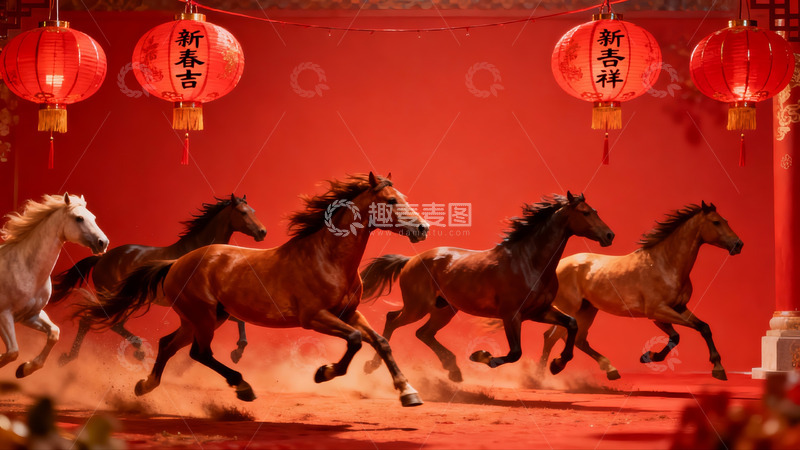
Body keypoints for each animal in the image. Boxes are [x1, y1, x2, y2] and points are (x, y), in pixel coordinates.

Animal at [0, 193, 108, 378]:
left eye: (93, 217)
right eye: (79, 218)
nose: (103, 242)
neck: (27, 269)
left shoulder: (30, 316)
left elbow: (54, 334)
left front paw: (24, 369)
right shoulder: (4, 314)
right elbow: (13, 352)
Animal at [51, 194, 266, 366]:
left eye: (254, 211)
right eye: (243, 213)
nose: (262, 232)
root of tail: (101, 258)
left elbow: (240, 320)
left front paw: (237, 352)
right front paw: (236, 352)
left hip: (129, 301)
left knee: (104, 323)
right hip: (119, 300)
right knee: (93, 321)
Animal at [84, 173, 430, 406]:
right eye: (390, 201)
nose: (422, 227)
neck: (327, 258)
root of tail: (176, 262)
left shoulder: (349, 313)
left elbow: (381, 342)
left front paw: (409, 392)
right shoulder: (315, 318)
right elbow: (356, 340)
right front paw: (324, 372)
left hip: (203, 318)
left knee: (169, 345)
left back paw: (145, 385)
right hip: (203, 317)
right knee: (199, 352)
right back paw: (243, 387)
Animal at [360, 192, 614, 383]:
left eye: (596, 211)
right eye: (585, 212)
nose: (609, 235)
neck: (528, 262)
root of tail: (410, 260)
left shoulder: (539, 311)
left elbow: (571, 324)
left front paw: (558, 364)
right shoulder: (511, 315)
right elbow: (515, 352)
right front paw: (482, 356)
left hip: (444, 309)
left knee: (423, 333)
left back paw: (453, 370)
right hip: (417, 307)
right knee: (393, 319)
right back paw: (371, 366)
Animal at [539, 201, 743, 381]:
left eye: (726, 220)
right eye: (716, 222)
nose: (738, 244)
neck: (666, 265)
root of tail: (558, 265)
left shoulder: (676, 309)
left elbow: (696, 330)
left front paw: (649, 356)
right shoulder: (657, 311)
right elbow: (691, 329)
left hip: (588, 310)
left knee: (578, 339)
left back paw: (610, 369)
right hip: (570, 308)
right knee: (551, 336)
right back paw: (546, 373)